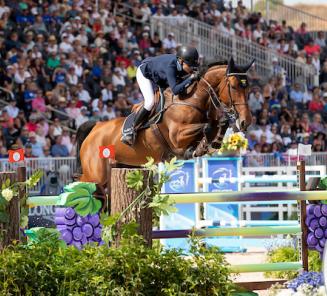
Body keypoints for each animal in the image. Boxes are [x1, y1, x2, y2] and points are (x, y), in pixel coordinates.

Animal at [76, 57, 254, 186]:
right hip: (96, 175)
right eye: (234, 87)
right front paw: (201, 147)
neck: (191, 99)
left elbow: (220, 123)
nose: (246, 121)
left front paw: (210, 144)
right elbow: (206, 126)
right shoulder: (177, 136)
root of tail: (95, 127)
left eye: (248, 88)